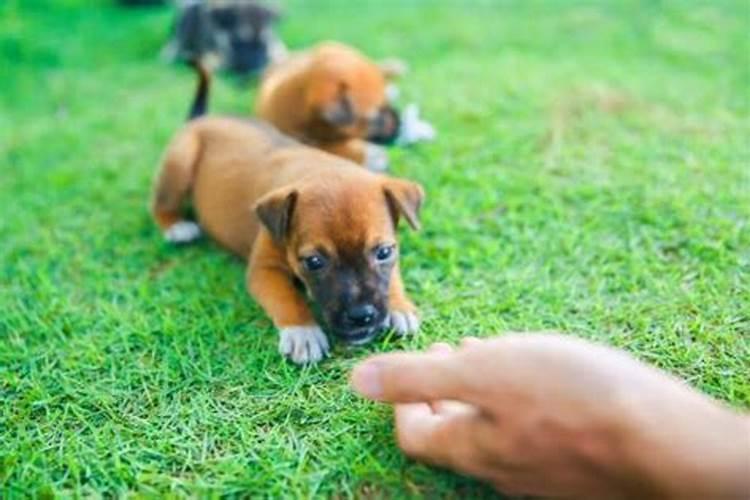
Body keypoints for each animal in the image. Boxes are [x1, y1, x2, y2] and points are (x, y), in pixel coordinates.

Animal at [150, 65, 426, 364]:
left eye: (384, 253)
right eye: (314, 262)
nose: (361, 316)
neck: (319, 169)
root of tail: (201, 119)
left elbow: (393, 277)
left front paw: (400, 306)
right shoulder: (264, 270)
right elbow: (285, 297)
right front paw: (302, 331)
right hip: (180, 160)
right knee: (160, 204)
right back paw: (176, 226)